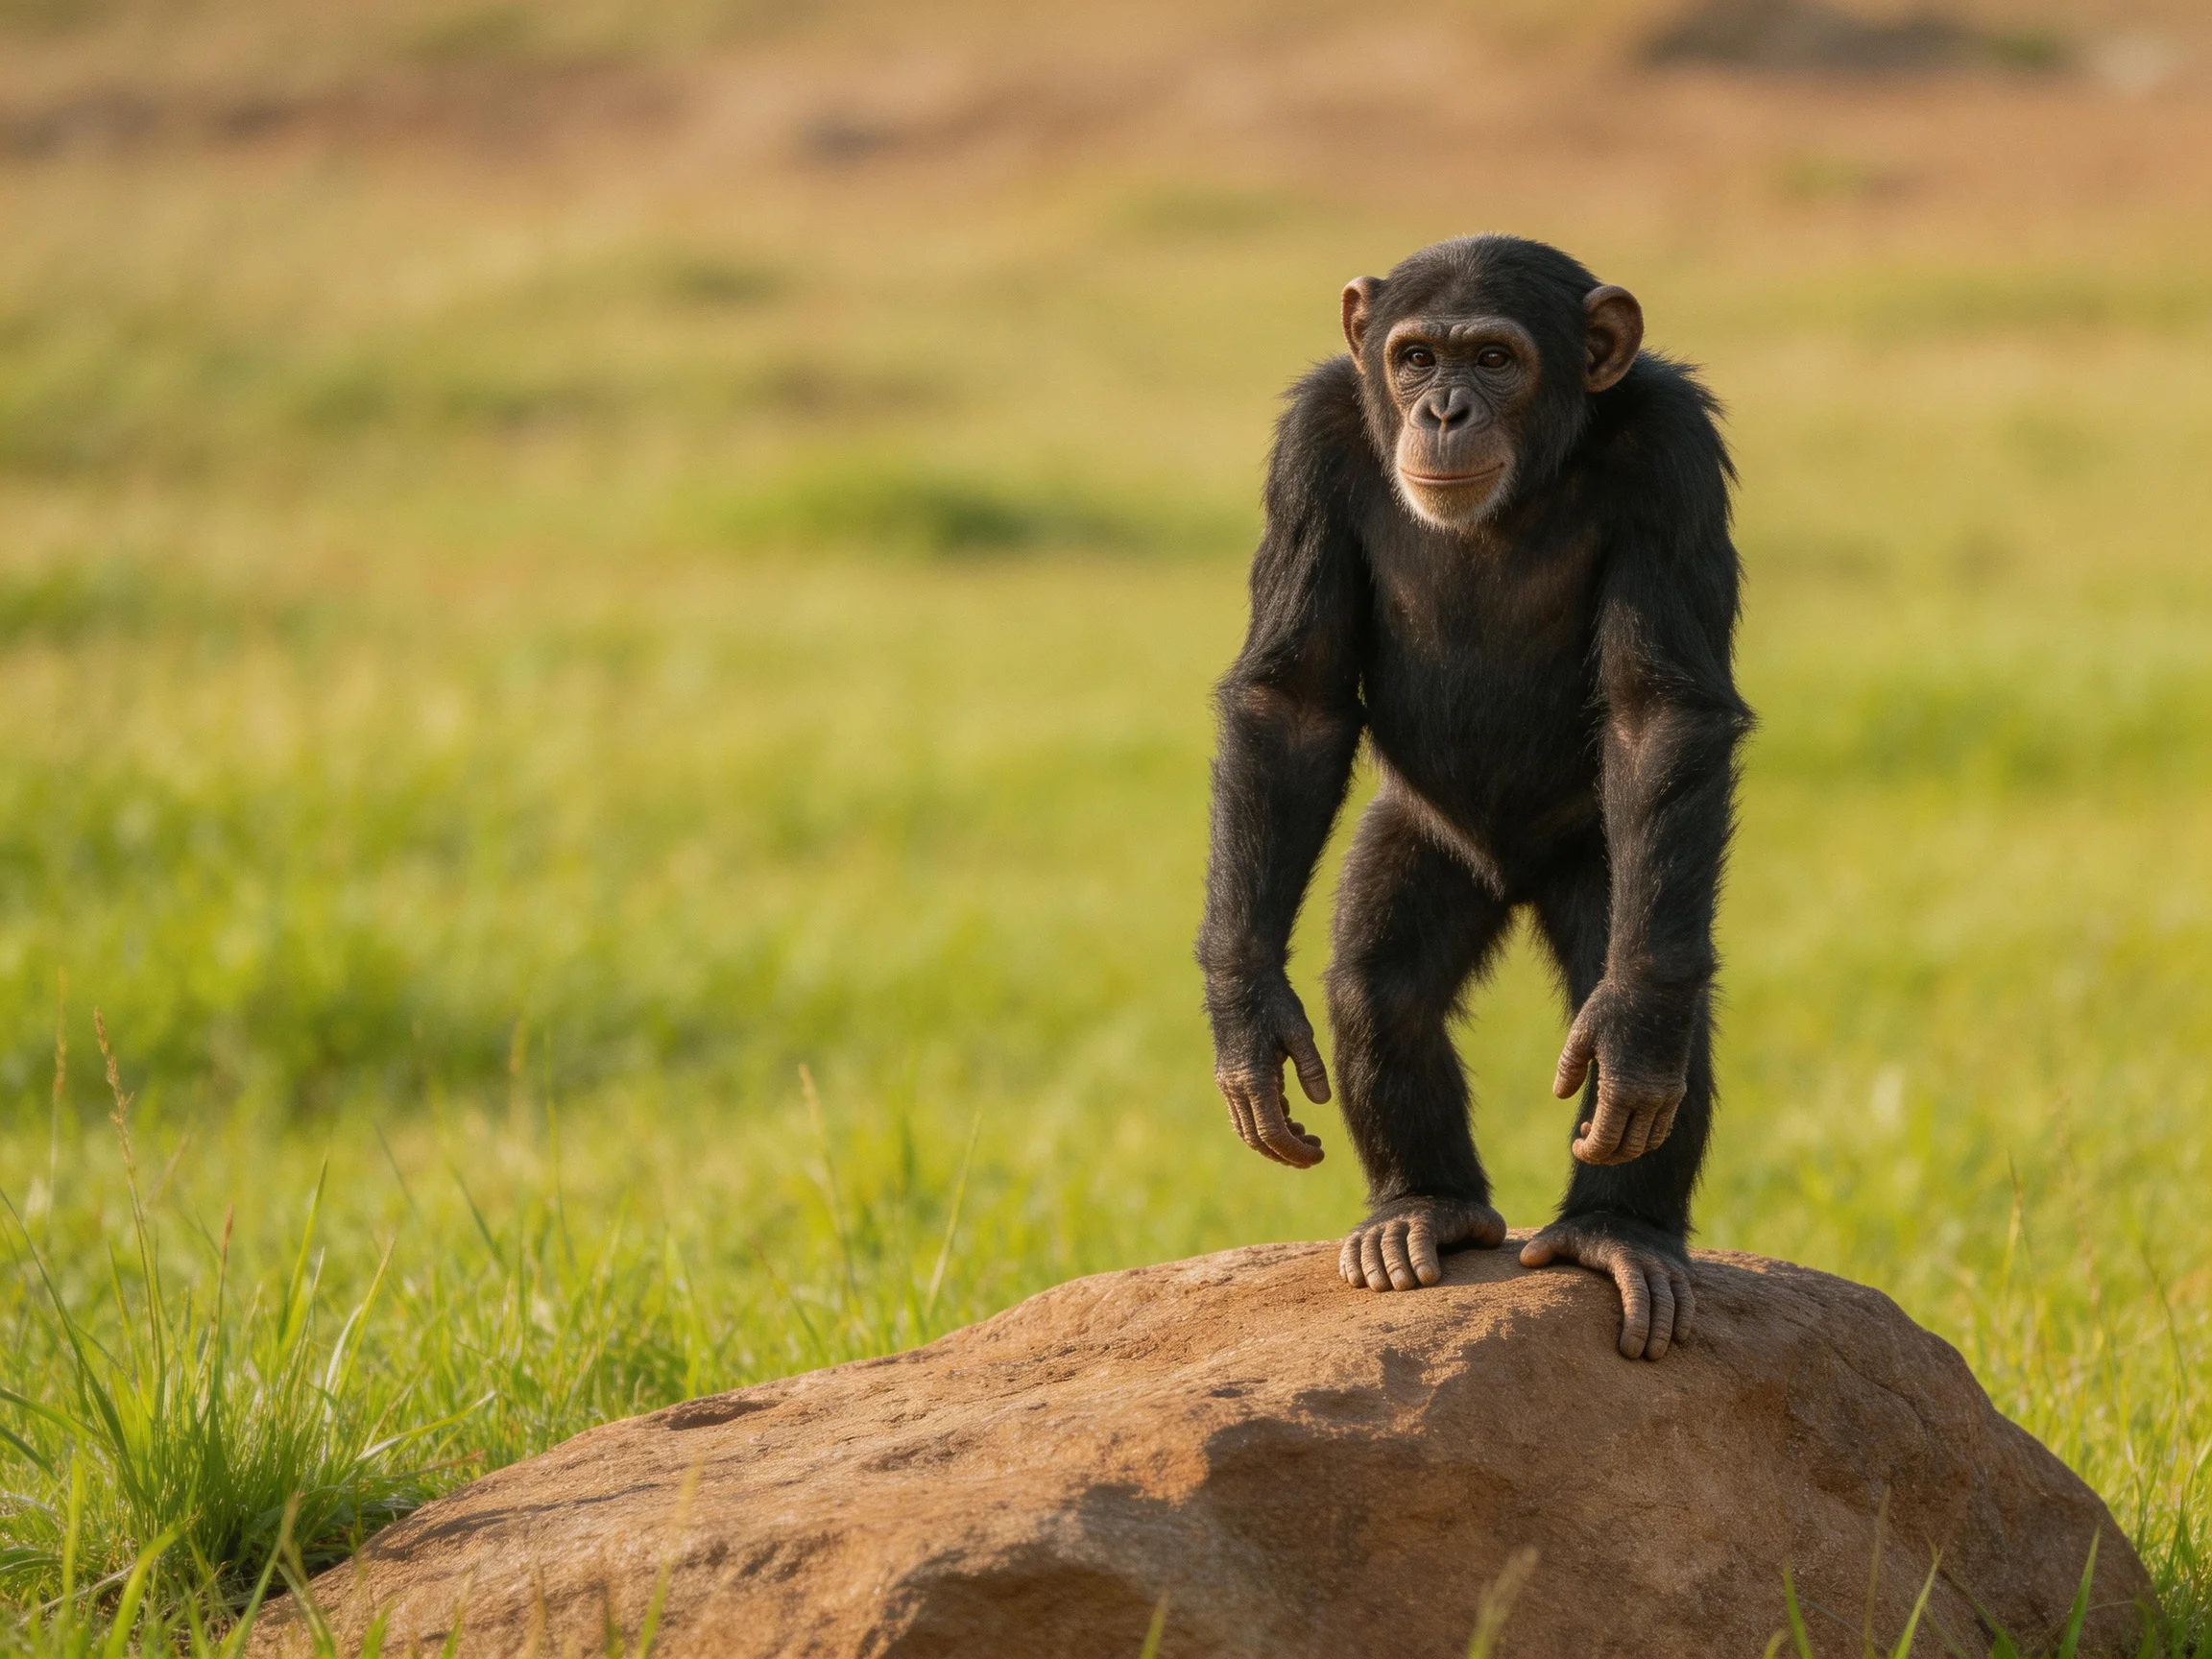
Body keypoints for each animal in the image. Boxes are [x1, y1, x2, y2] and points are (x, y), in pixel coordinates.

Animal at [1197, 234, 1752, 1361]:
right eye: (1414, 358)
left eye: (1496, 359)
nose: (1446, 410)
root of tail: (1513, 870)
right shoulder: (1310, 442)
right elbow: (1292, 703)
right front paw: (1247, 1018)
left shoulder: (1674, 449)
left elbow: (1659, 713)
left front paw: (1637, 1035)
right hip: (1422, 835)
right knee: (1383, 989)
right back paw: (1425, 1208)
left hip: (1600, 862)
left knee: (1633, 994)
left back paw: (1619, 1230)